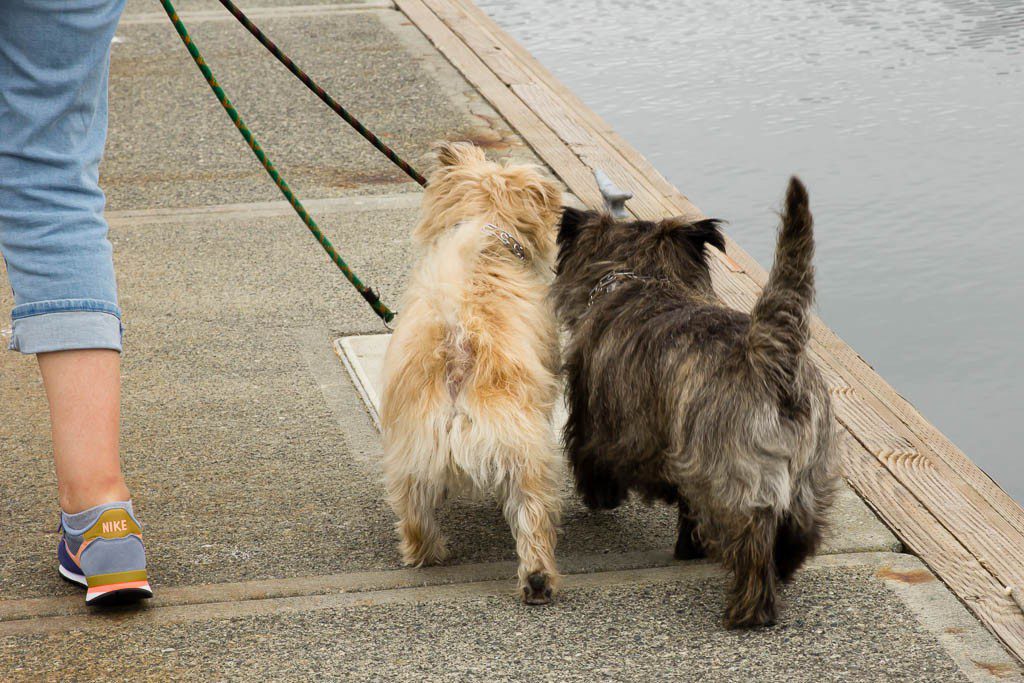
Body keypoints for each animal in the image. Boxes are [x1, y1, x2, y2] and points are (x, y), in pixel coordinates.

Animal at [382, 141, 565, 602]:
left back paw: (427, 553)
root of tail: (458, 350)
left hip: (413, 451)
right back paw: (537, 579)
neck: (489, 229)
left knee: (415, 511)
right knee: (532, 516)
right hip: (526, 453)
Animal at [557, 179, 835, 626]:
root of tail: (774, 360)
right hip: (810, 476)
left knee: (749, 540)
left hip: (728, 475)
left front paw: (603, 499)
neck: (646, 278)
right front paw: (688, 548)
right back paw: (781, 572)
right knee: (797, 532)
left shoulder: (599, 423)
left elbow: (592, 460)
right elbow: (686, 509)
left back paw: (749, 608)